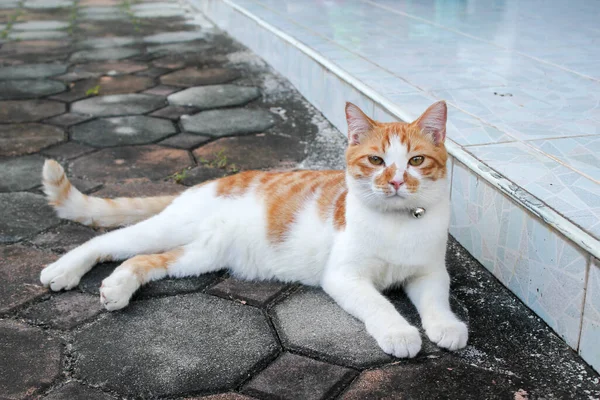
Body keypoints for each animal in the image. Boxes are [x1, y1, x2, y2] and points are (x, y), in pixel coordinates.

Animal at [38, 101, 468, 358]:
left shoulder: (430, 272)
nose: (395, 181)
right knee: (107, 240)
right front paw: (399, 332)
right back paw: (63, 270)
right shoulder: (344, 276)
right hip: (169, 227)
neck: (395, 223)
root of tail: (206, 184)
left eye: (416, 161)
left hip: (202, 254)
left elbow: (436, 299)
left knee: (146, 260)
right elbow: (378, 304)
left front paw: (446, 326)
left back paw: (117, 287)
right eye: (376, 160)